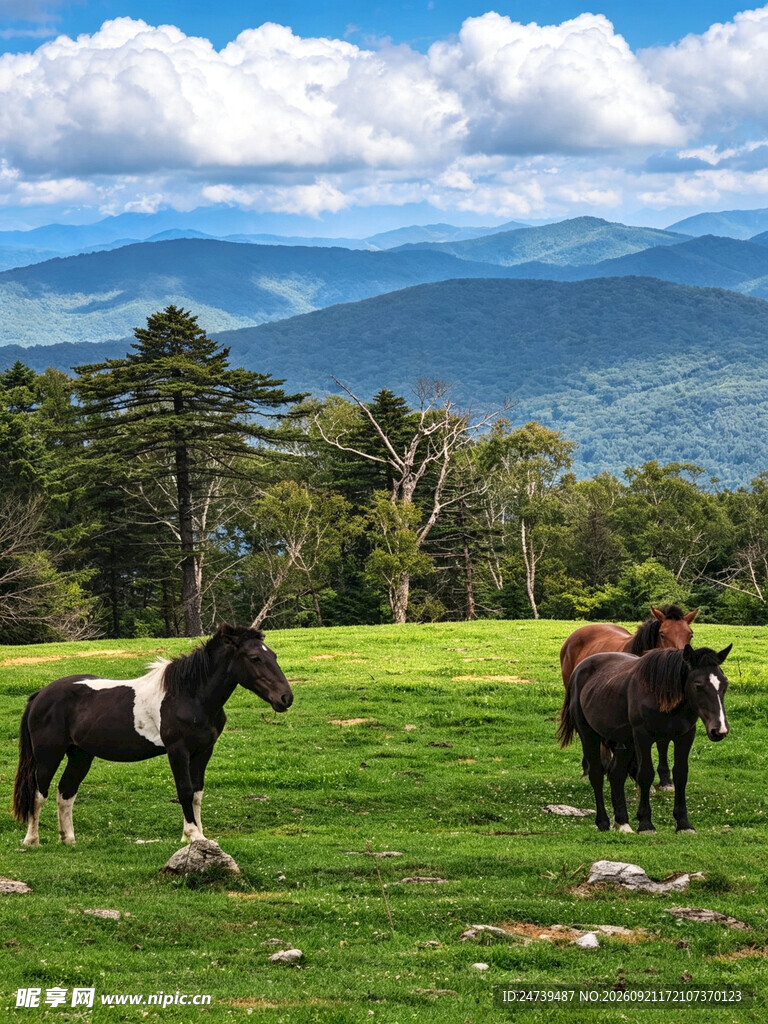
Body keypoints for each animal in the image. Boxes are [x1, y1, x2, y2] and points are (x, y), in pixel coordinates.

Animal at [12, 623, 293, 847]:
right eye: (255, 658)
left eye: (274, 655)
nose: (285, 698)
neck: (188, 695)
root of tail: (40, 695)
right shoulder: (178, 750)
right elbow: (185, 791)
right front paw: (193, 835)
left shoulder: (203, 751)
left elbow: (197, 793)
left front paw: (197, 835)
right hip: (48, 756)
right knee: (39, 793)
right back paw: (31, 840)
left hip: (80, 756)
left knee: (65, 793)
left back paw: (68, 839)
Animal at [558, 644, 731, 834]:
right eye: (698, 685)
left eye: (724, 684)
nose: (719, 730)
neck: (661, 694)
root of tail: (579, 670)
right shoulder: (643, 736)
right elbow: (646, 774)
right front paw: (646, 824)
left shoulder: (684, 736)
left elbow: (680, 774)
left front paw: (684, 823)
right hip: (589, 734)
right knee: (596, 774)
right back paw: (603, 822)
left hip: (624, 742)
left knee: (616, 775)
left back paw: (622, 822)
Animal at [560, 605, 699, 786]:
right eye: (662, 634)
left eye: (690, 634)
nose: (682, 664)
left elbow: (663, 743)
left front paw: (665, 779)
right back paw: (592, 767)